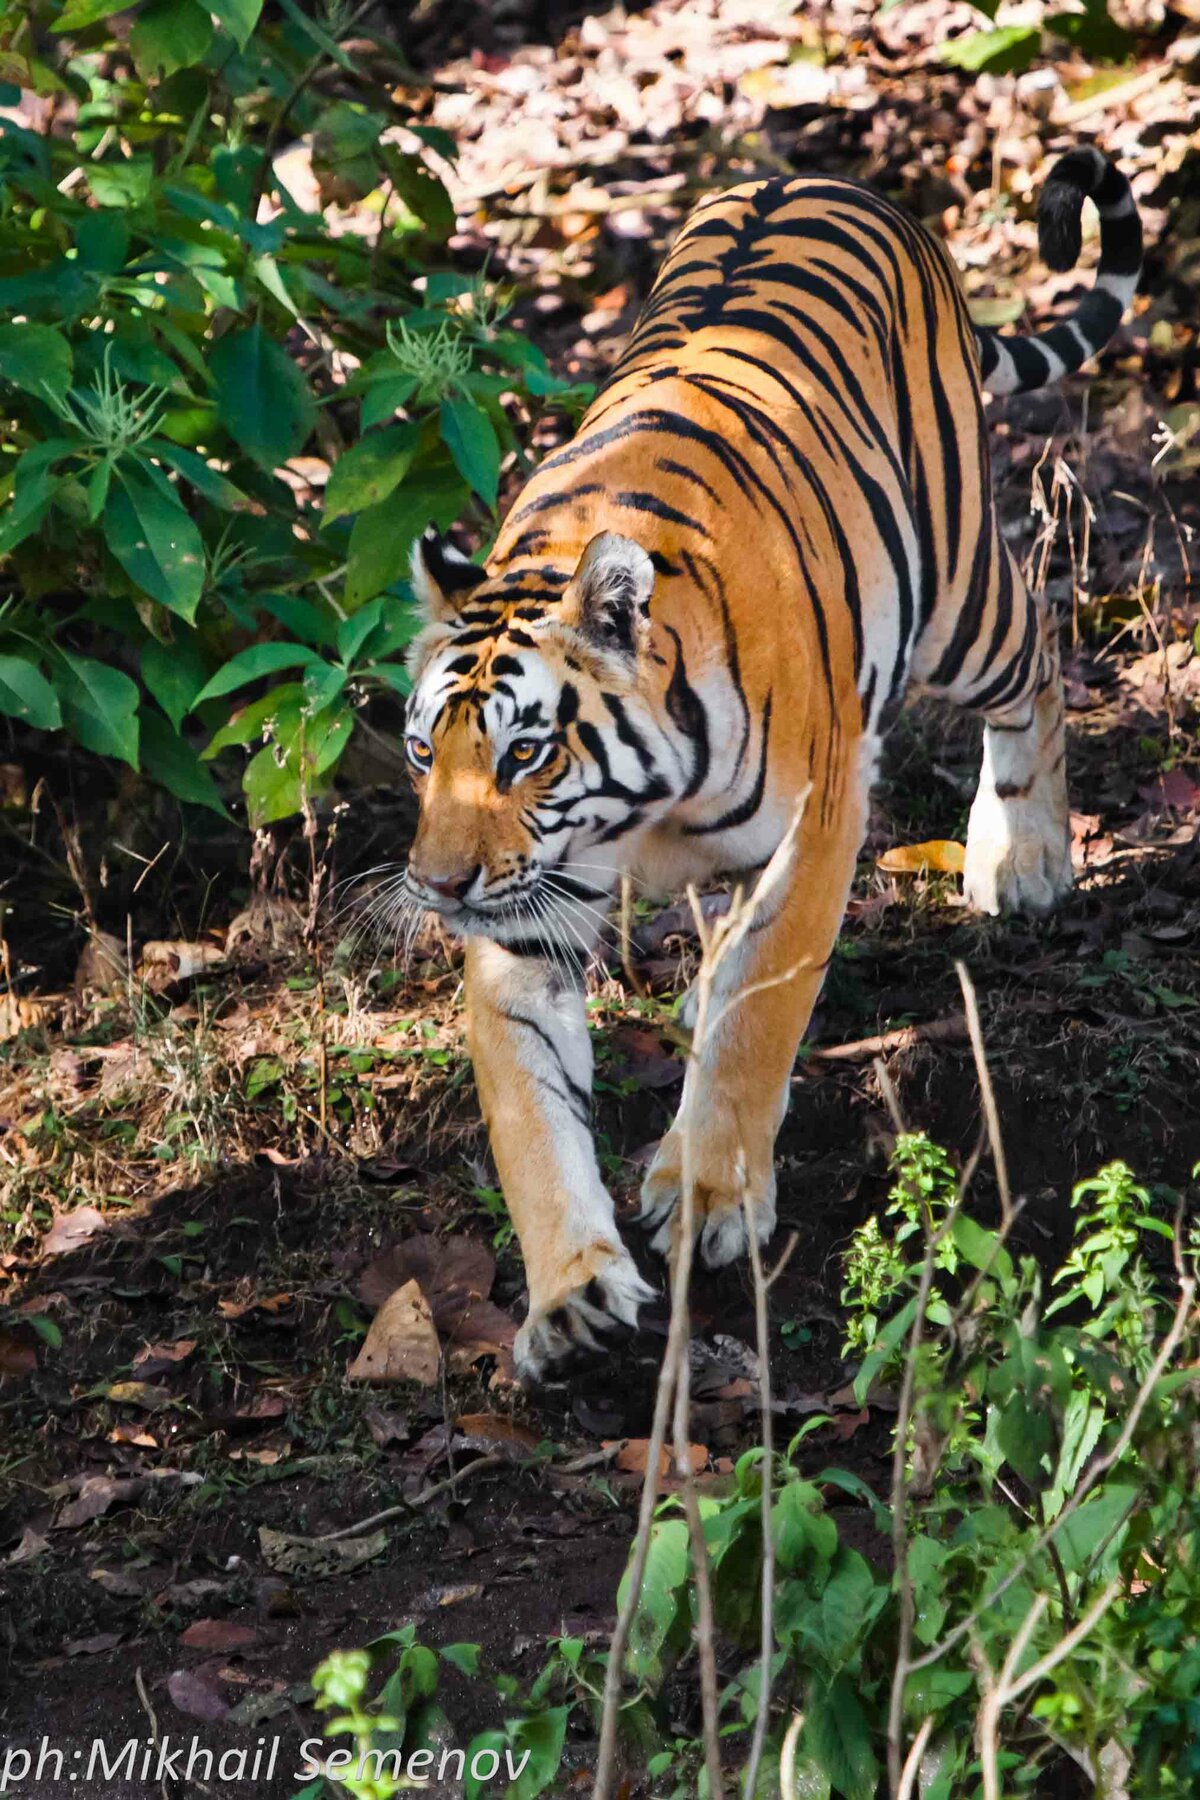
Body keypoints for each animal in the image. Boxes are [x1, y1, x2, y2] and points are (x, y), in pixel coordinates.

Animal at [395, 151, 1144, 1375]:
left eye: (525, 752)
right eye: (423, 751)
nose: (438, 887)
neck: (628, 811)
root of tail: (828, 178)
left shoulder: (818, 822)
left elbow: (763, 1008)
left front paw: (710, 1197)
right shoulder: (523, 922)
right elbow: (529, 1106)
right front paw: (571, 1293)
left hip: (961, 607)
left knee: (1036, 647)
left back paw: (1023, 861)